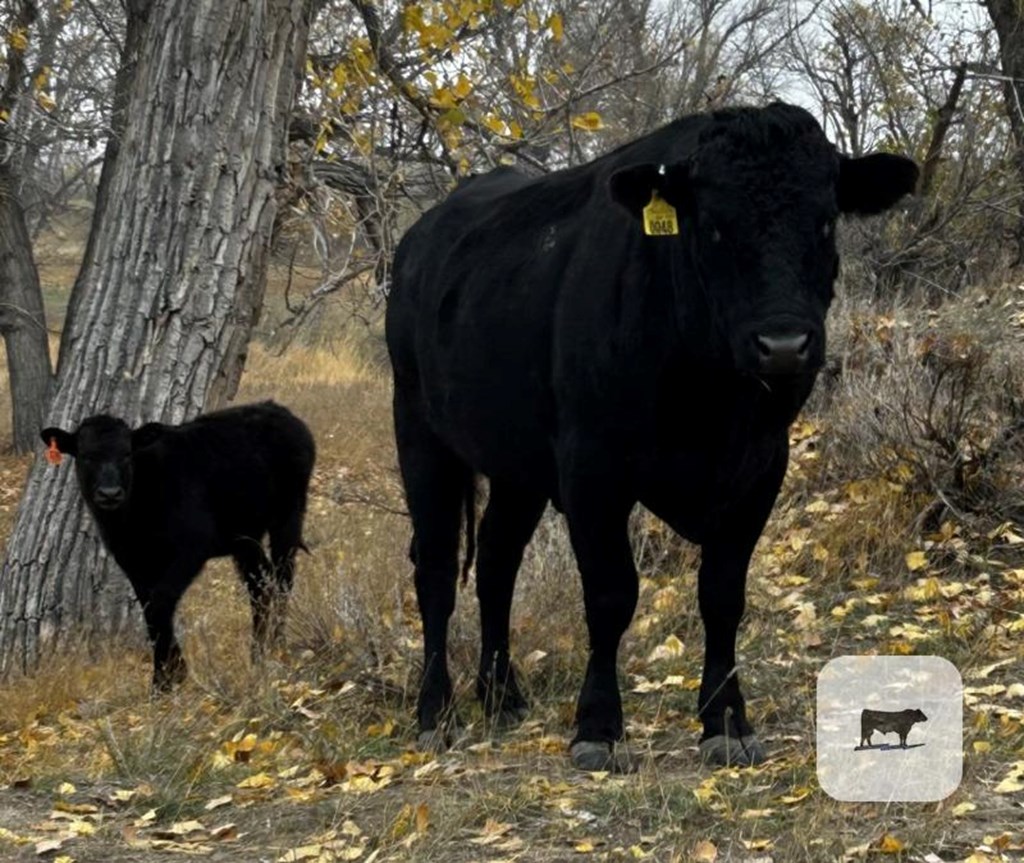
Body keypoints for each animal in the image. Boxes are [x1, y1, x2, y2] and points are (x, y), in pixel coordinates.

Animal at [43, 401, 315, 692]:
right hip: (244, 536)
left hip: (288, 515)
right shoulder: (131, 559)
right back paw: (258, 653)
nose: (110, 493)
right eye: (85, 456)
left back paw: (277, 644)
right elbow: (149, 609)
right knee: (260, 584)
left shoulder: (191, 548)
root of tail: (278, 409)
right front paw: (168, 675)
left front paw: (166, 679)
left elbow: (161, 603)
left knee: (283, 577)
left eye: (126, 454)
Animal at [385, 101, 921, 769]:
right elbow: (611, 594)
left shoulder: (760, 468)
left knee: (497, 559)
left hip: (517, 466)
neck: (711, 400)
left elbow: (722, 595)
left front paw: (726, 722)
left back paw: (502, 696)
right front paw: (598, 727)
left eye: (825, 222)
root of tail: (421, 235)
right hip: (420, 431)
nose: (783, 344)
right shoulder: (592, 468)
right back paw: (436, 712)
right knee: (435, 567)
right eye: (713, 227)